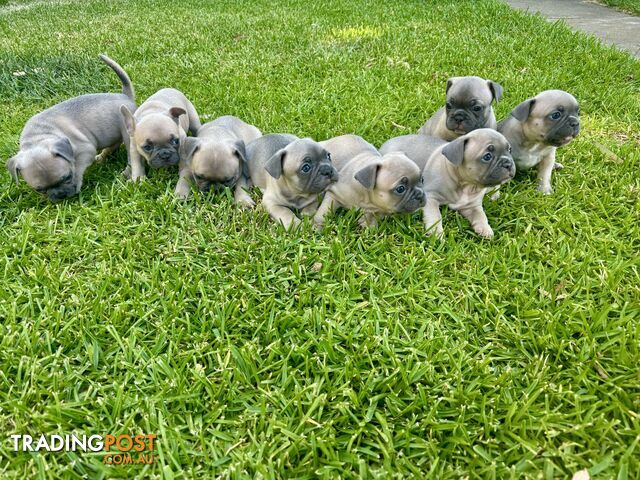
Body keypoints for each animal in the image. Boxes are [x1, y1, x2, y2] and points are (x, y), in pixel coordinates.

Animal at [4, 54, 136, 202]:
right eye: (39, 190)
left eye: (67, 177)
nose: (60, 196)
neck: (39, 137)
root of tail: (125, 95)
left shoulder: (85, 150)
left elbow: (77, 167)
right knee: (113, 145)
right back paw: (102, 157)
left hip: (127, 133)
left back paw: (126, 172)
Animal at [380, 129, 516, 238]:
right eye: (487, 157)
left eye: (510, 150)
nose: (508, 163)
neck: (467, 186)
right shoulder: (431, 197)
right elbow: (435, 216)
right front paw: (436, 232)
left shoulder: (472, 206)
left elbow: (480, 215)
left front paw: (485, 228)